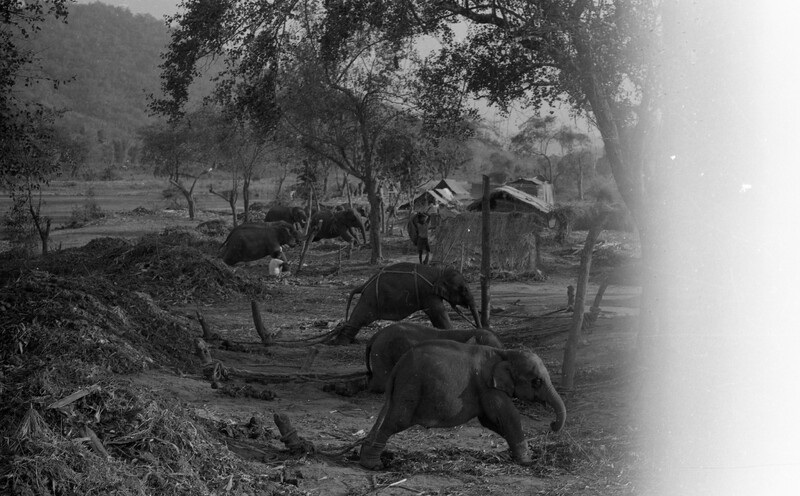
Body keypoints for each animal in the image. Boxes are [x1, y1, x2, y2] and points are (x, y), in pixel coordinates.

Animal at [322, 263, 481, 345]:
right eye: (464, 289)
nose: (479, 328)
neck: (439, 271)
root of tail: (364, 284)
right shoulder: (428, 293)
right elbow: (438, 313)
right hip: (370, 299)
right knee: (360, 317)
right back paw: (341, 342)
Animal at [359, 340, 566, 469]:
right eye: (537, 381)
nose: (552, 425)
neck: (505, 353)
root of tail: (397, 367)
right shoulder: (487, 387)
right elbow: (508, 416)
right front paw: (528, 461)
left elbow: (491, 422)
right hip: (410, 388)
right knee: (395, 422)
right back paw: (374, 465)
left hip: (402, 390)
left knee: (385, 417)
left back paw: (364, 459)